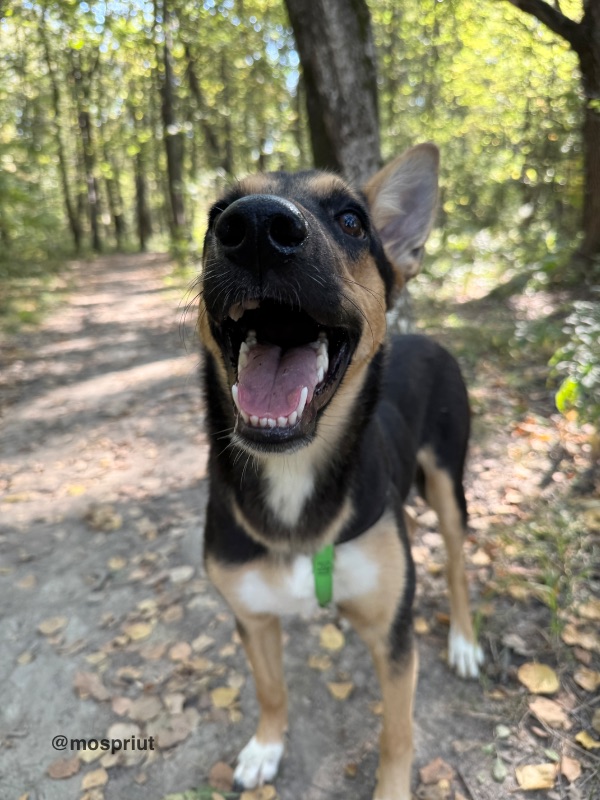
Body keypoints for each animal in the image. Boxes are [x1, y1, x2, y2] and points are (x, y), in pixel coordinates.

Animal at [199, 145, 486, 800]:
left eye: (353, 221)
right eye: (217, 214)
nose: (255, 228)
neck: (294, 474)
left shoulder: (392, 635)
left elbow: (397, 734)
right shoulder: (252, 617)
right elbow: (271, 689)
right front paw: (266, 747)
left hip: (448, 484)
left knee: (457, 565)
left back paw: (463, 641)